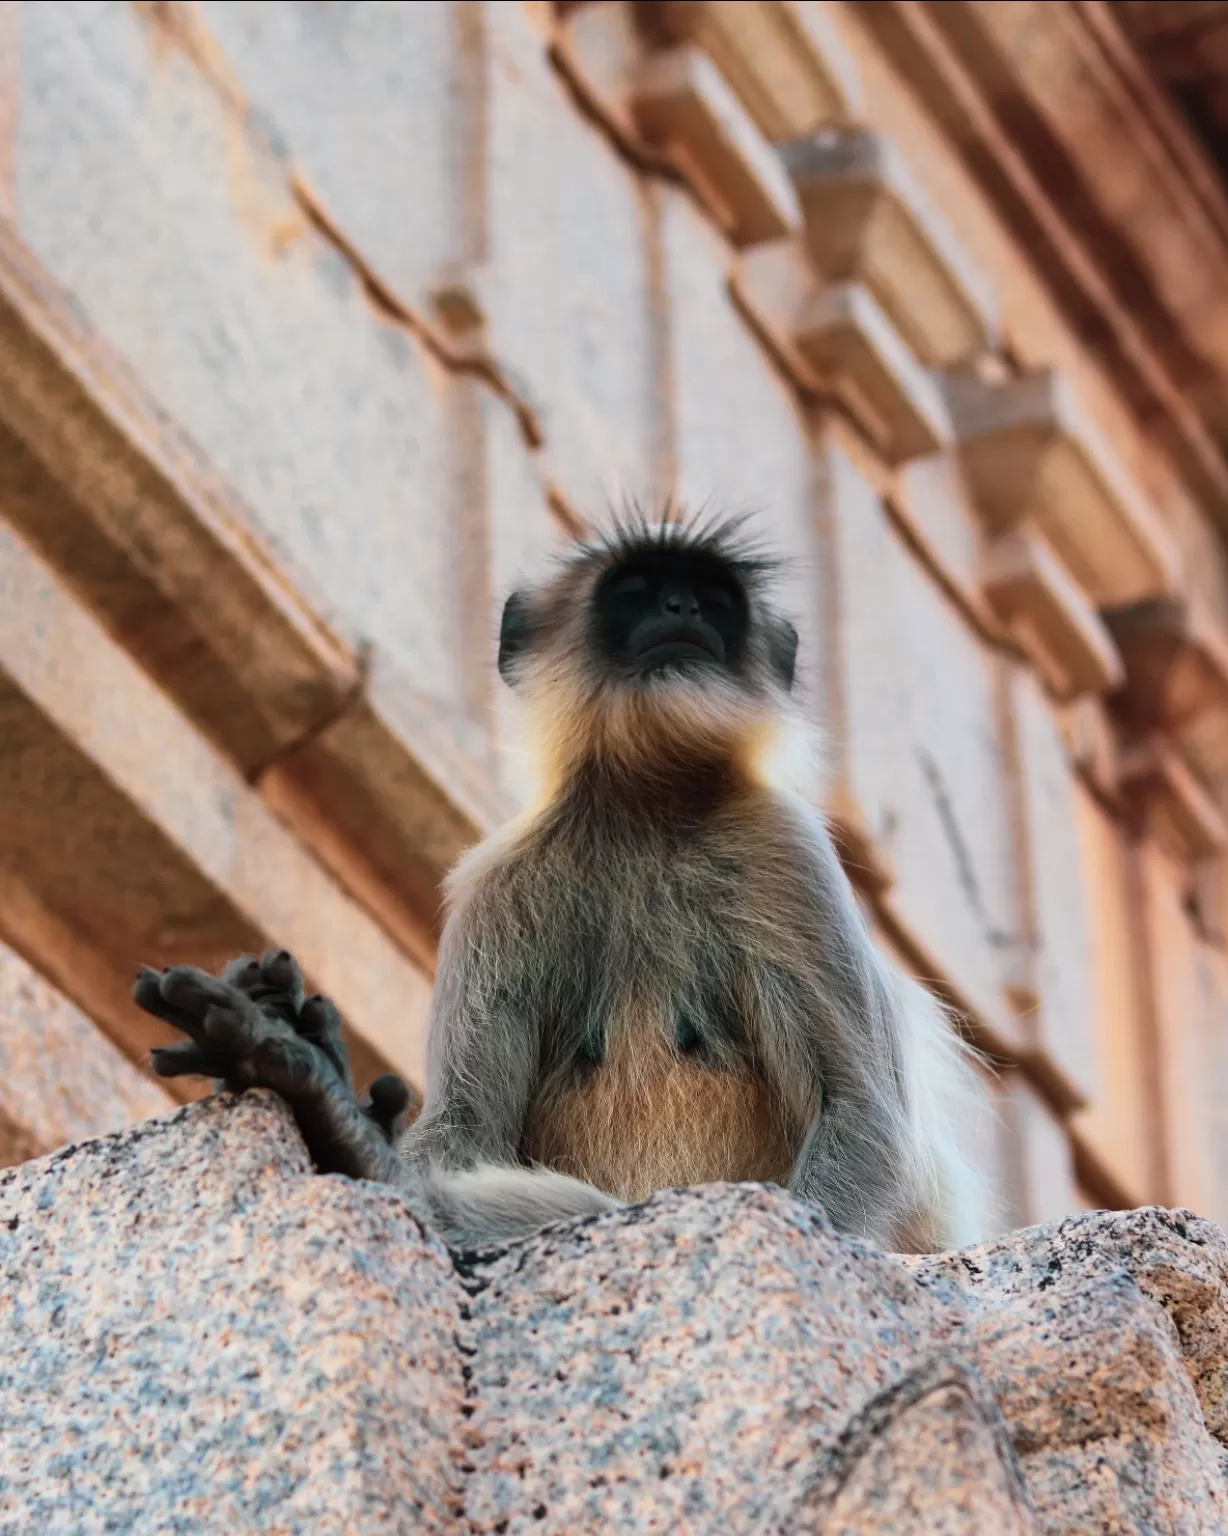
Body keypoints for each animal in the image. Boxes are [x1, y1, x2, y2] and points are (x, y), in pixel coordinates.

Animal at [129, 509, 983, 1253]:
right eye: (637, 588)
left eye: (713, 600)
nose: (681, 608)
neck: (647, 811)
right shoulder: (500, 886)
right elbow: (466, 1132)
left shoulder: (785, 849)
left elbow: (863, 1115)